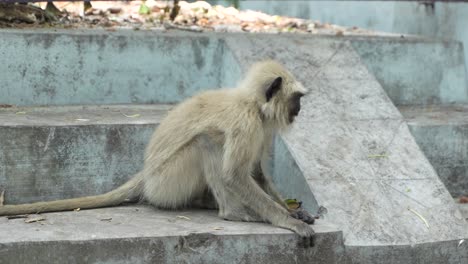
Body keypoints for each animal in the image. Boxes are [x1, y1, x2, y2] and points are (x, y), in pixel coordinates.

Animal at [0, 60, 316, 241]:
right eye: (296, 99)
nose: (299, 110)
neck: (253, 104)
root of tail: (148, 174)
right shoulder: (246, 122)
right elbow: (235, 175)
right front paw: (287, 220)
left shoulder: (261, 127)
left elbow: (256, 172)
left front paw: (293, 212)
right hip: (168, 182)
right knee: (207, 142)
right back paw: (233, 213)